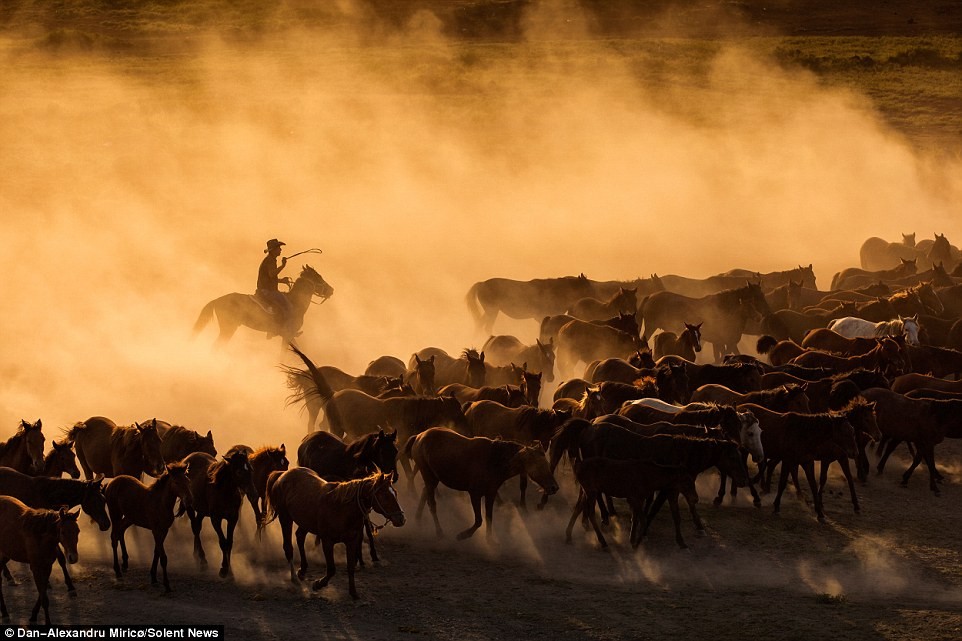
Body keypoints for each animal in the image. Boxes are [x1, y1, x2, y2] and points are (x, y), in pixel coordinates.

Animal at [105, 460, 193, 592]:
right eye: (176, 482)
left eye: (187, 481)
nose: (189, 500)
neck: (161, 503)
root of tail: (112, 482)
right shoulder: (156, 530)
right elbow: (163, 557)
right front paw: (167, 585)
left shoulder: (164, 530)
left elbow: (156, 552)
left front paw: (154, 578)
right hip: (115, 514)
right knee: (114, 538)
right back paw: (117, 570)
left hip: (129, 517)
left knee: (121, 532)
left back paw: (124, 563)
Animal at [182, 448, 258, 576]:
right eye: (239, 471)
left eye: (251, 469)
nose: (253, 493)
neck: (224, 491)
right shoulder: (216, 519)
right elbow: (222, 542)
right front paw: (224, 569)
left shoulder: (233, 518)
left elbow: (229, 543)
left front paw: (230, 570)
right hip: (189, 507)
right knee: (195, 528)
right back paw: (202, 560)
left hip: (202, 511)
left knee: (197, 525)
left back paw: (197, 555)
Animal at [260, 468, 404, 596]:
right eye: (385, 495)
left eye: (395, 493)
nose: (401, 519)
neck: (341, 509)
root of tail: (282, 475)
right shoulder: (327, 542)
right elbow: (331, 570)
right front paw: (318, 584)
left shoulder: (351, 542)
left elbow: (350, 567)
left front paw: (353, 592)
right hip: (285, 518)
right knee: (288, 547)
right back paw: (294, 578)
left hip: (305, 522)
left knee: (300, 537)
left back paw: (303, 570)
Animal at [404, 424, 556, 540]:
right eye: (539, 466)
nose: (554, 487)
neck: (494, 460)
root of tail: (419, 436)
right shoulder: (475, 494)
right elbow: (478, 520)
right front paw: (463, 535)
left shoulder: (490, 494)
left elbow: (489, 517)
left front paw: (490, 540)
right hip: (428, 475)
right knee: (432, 503)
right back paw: (439, 532)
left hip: (433, 478)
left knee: (425, 493)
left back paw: (418, 520)